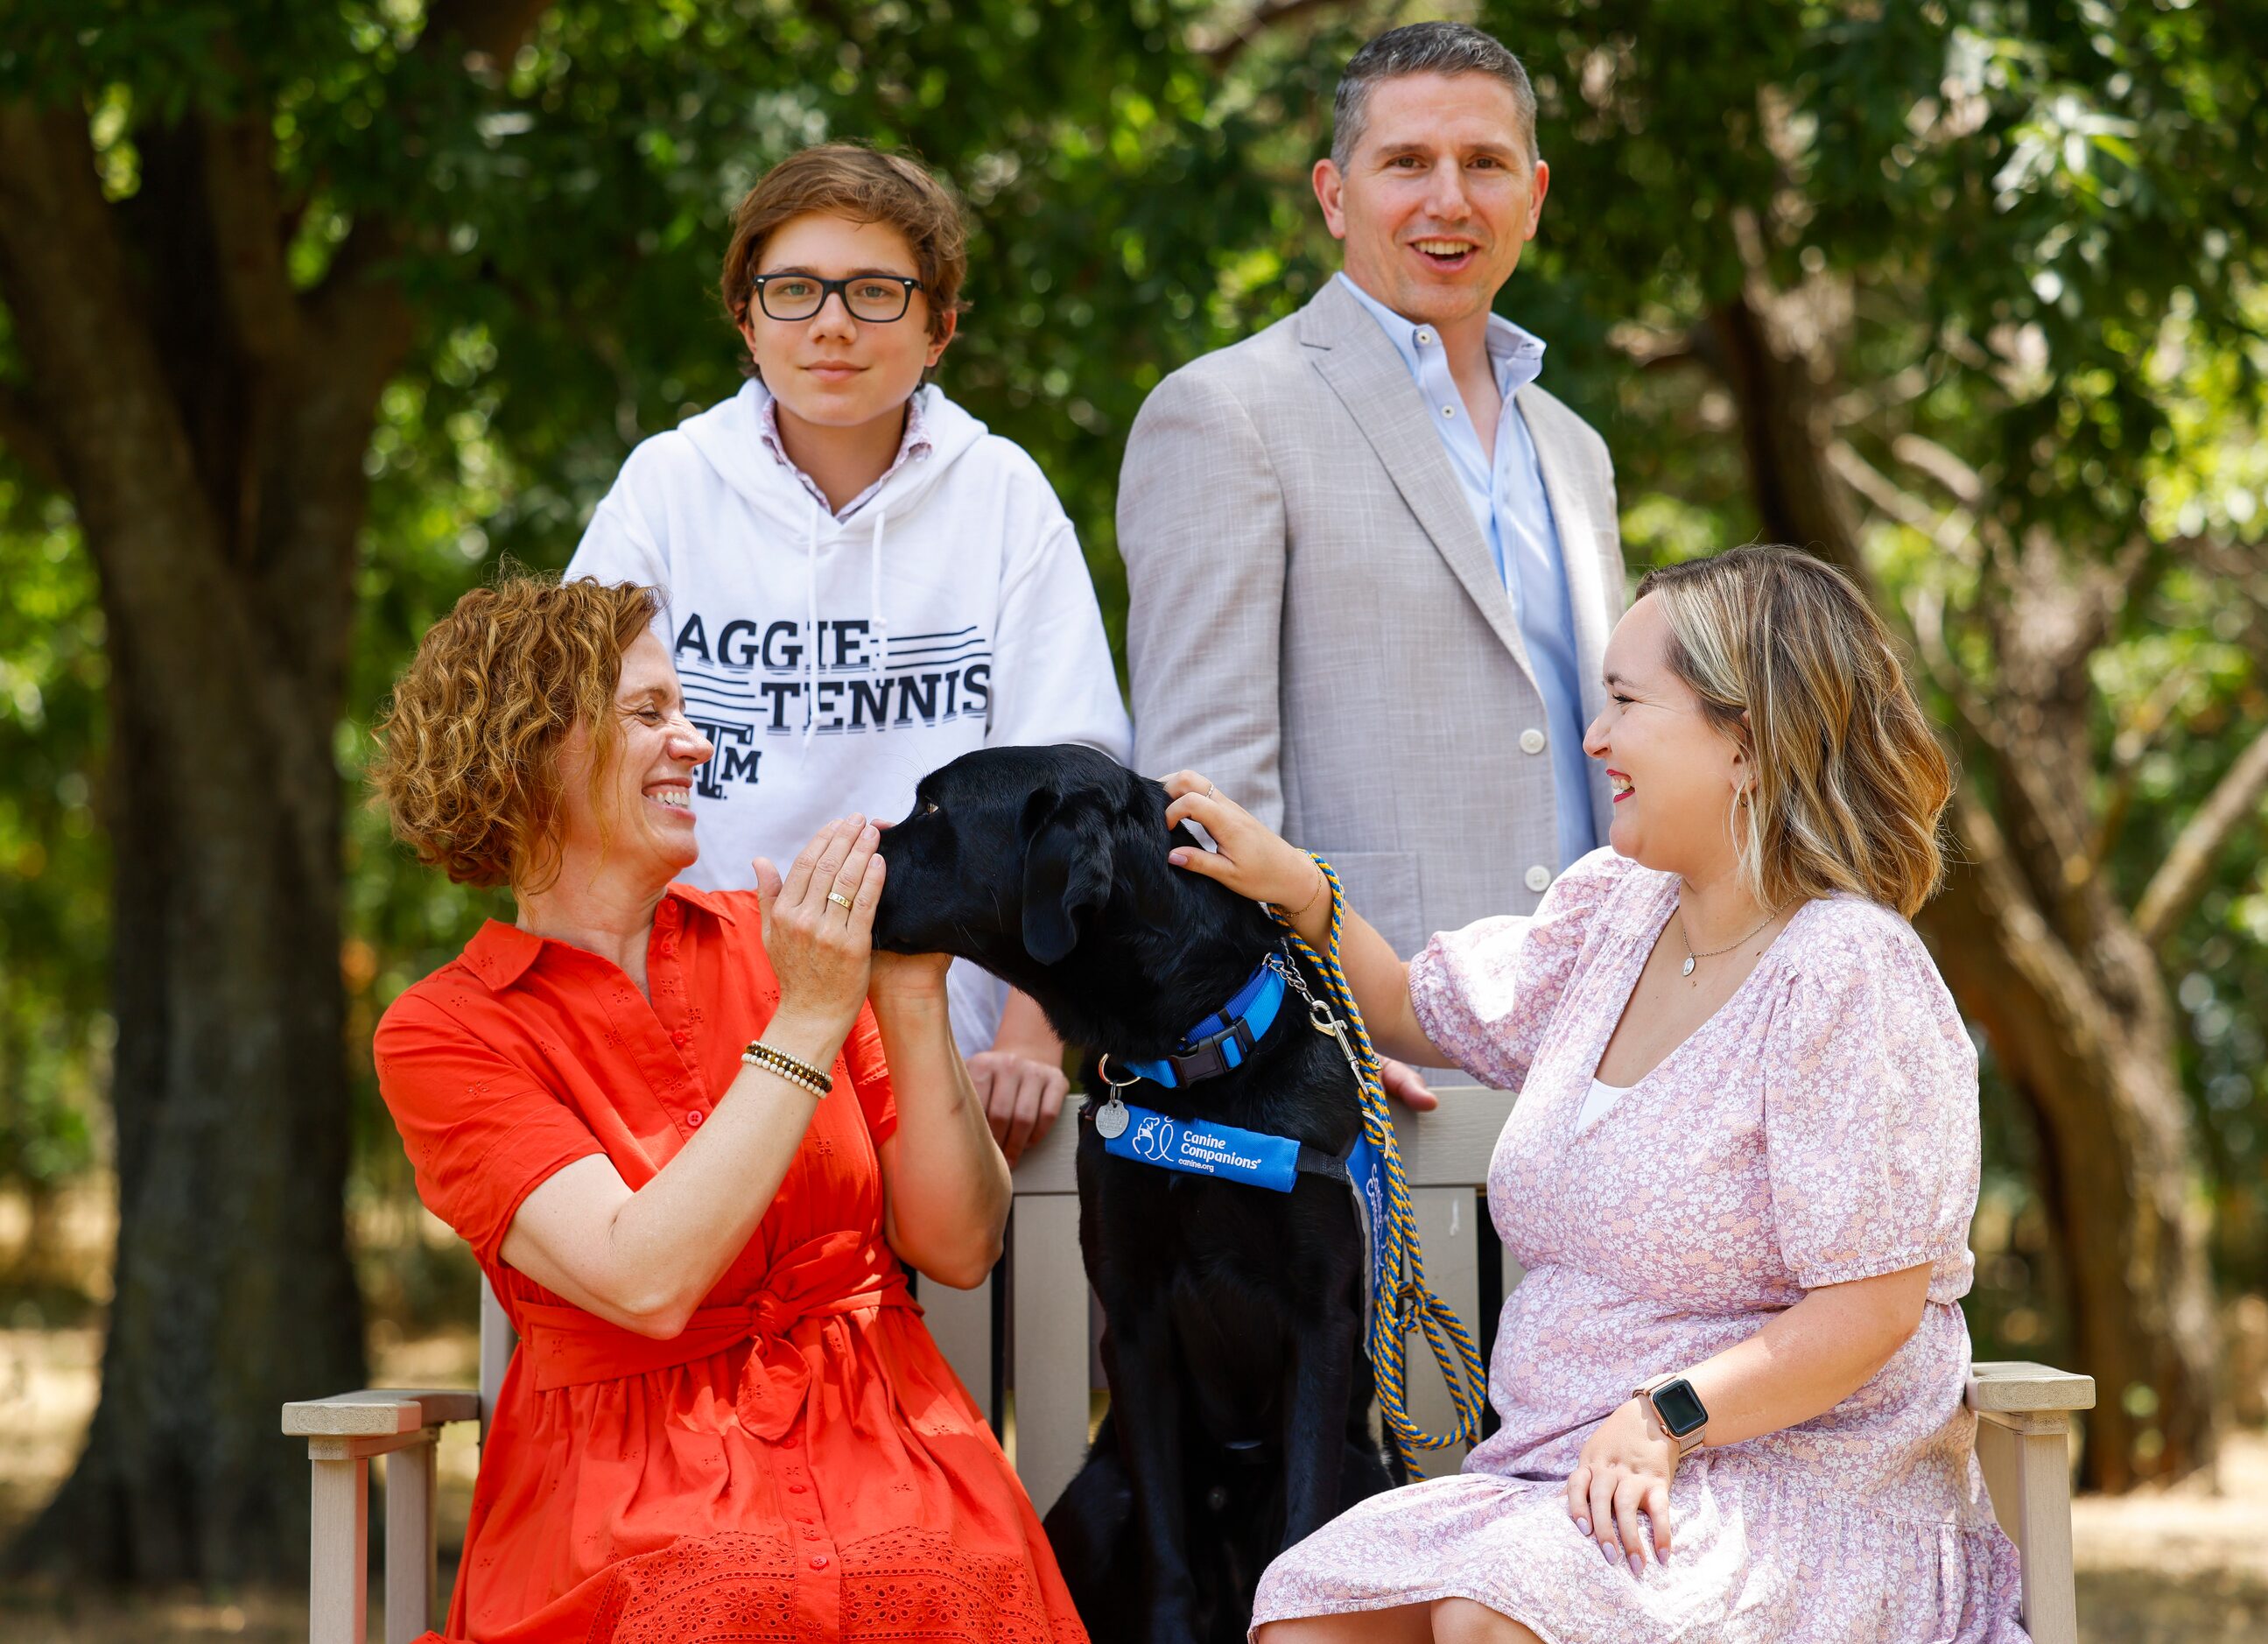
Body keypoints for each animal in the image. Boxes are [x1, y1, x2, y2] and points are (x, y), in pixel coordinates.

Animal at [870, 743, 1387, 1641]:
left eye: (932, 808)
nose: (843, 848)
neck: (1192, 1068)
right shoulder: (1134, 1313)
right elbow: (1165, 1552)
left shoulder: (1319, 1314)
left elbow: (1300, 1528)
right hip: (1093, 1494)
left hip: (1368, 1475)